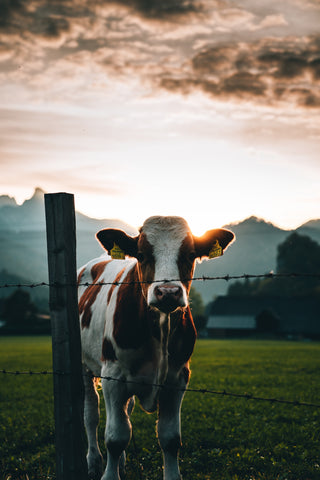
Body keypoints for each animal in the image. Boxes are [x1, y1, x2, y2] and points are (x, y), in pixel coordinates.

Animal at [77, 217, 232, 480]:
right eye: (141, 254)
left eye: (190, 254)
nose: (167, 292)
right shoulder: (113, 376)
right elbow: (115, 437)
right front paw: (109, 473)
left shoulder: (178, 378)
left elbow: (169, 438)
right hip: (84, 366)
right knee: (91, 414)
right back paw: (93, 461)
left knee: (126, 412)